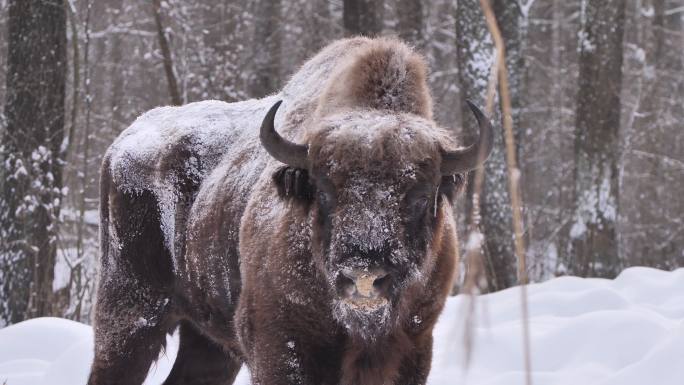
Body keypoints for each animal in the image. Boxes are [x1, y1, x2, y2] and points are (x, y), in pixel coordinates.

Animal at [87, 38, 492, 384]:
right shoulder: (281, 343)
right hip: (130, 316)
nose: (364, 277)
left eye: (421, 194)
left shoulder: (414, 343)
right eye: (324, 189)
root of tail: (121, 145)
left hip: (207, 340)